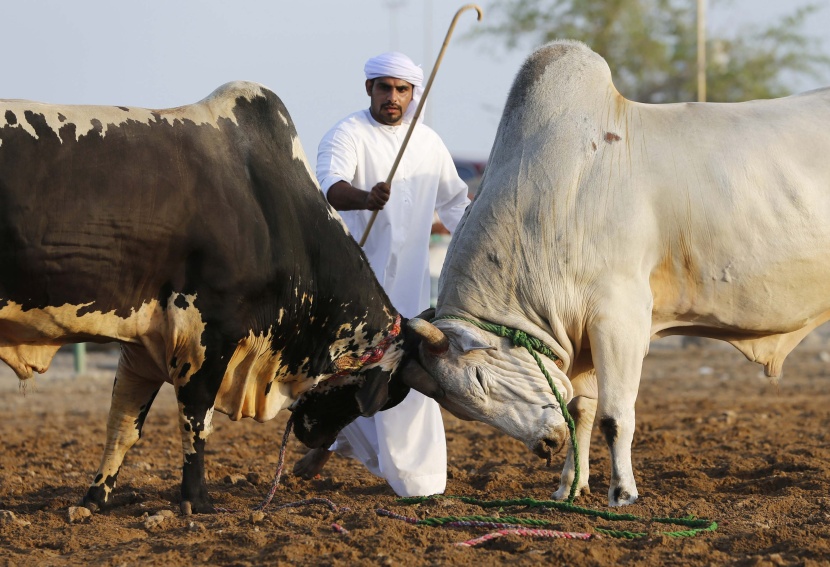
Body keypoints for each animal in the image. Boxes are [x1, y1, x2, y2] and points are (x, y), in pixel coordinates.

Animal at [408, 42, 830, 508]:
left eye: (480, 379)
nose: (545, 445)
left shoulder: (619, 318)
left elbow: (615, 416)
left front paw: (623, 492)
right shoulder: (585, 334)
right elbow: (581, 410)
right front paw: (569, 486)